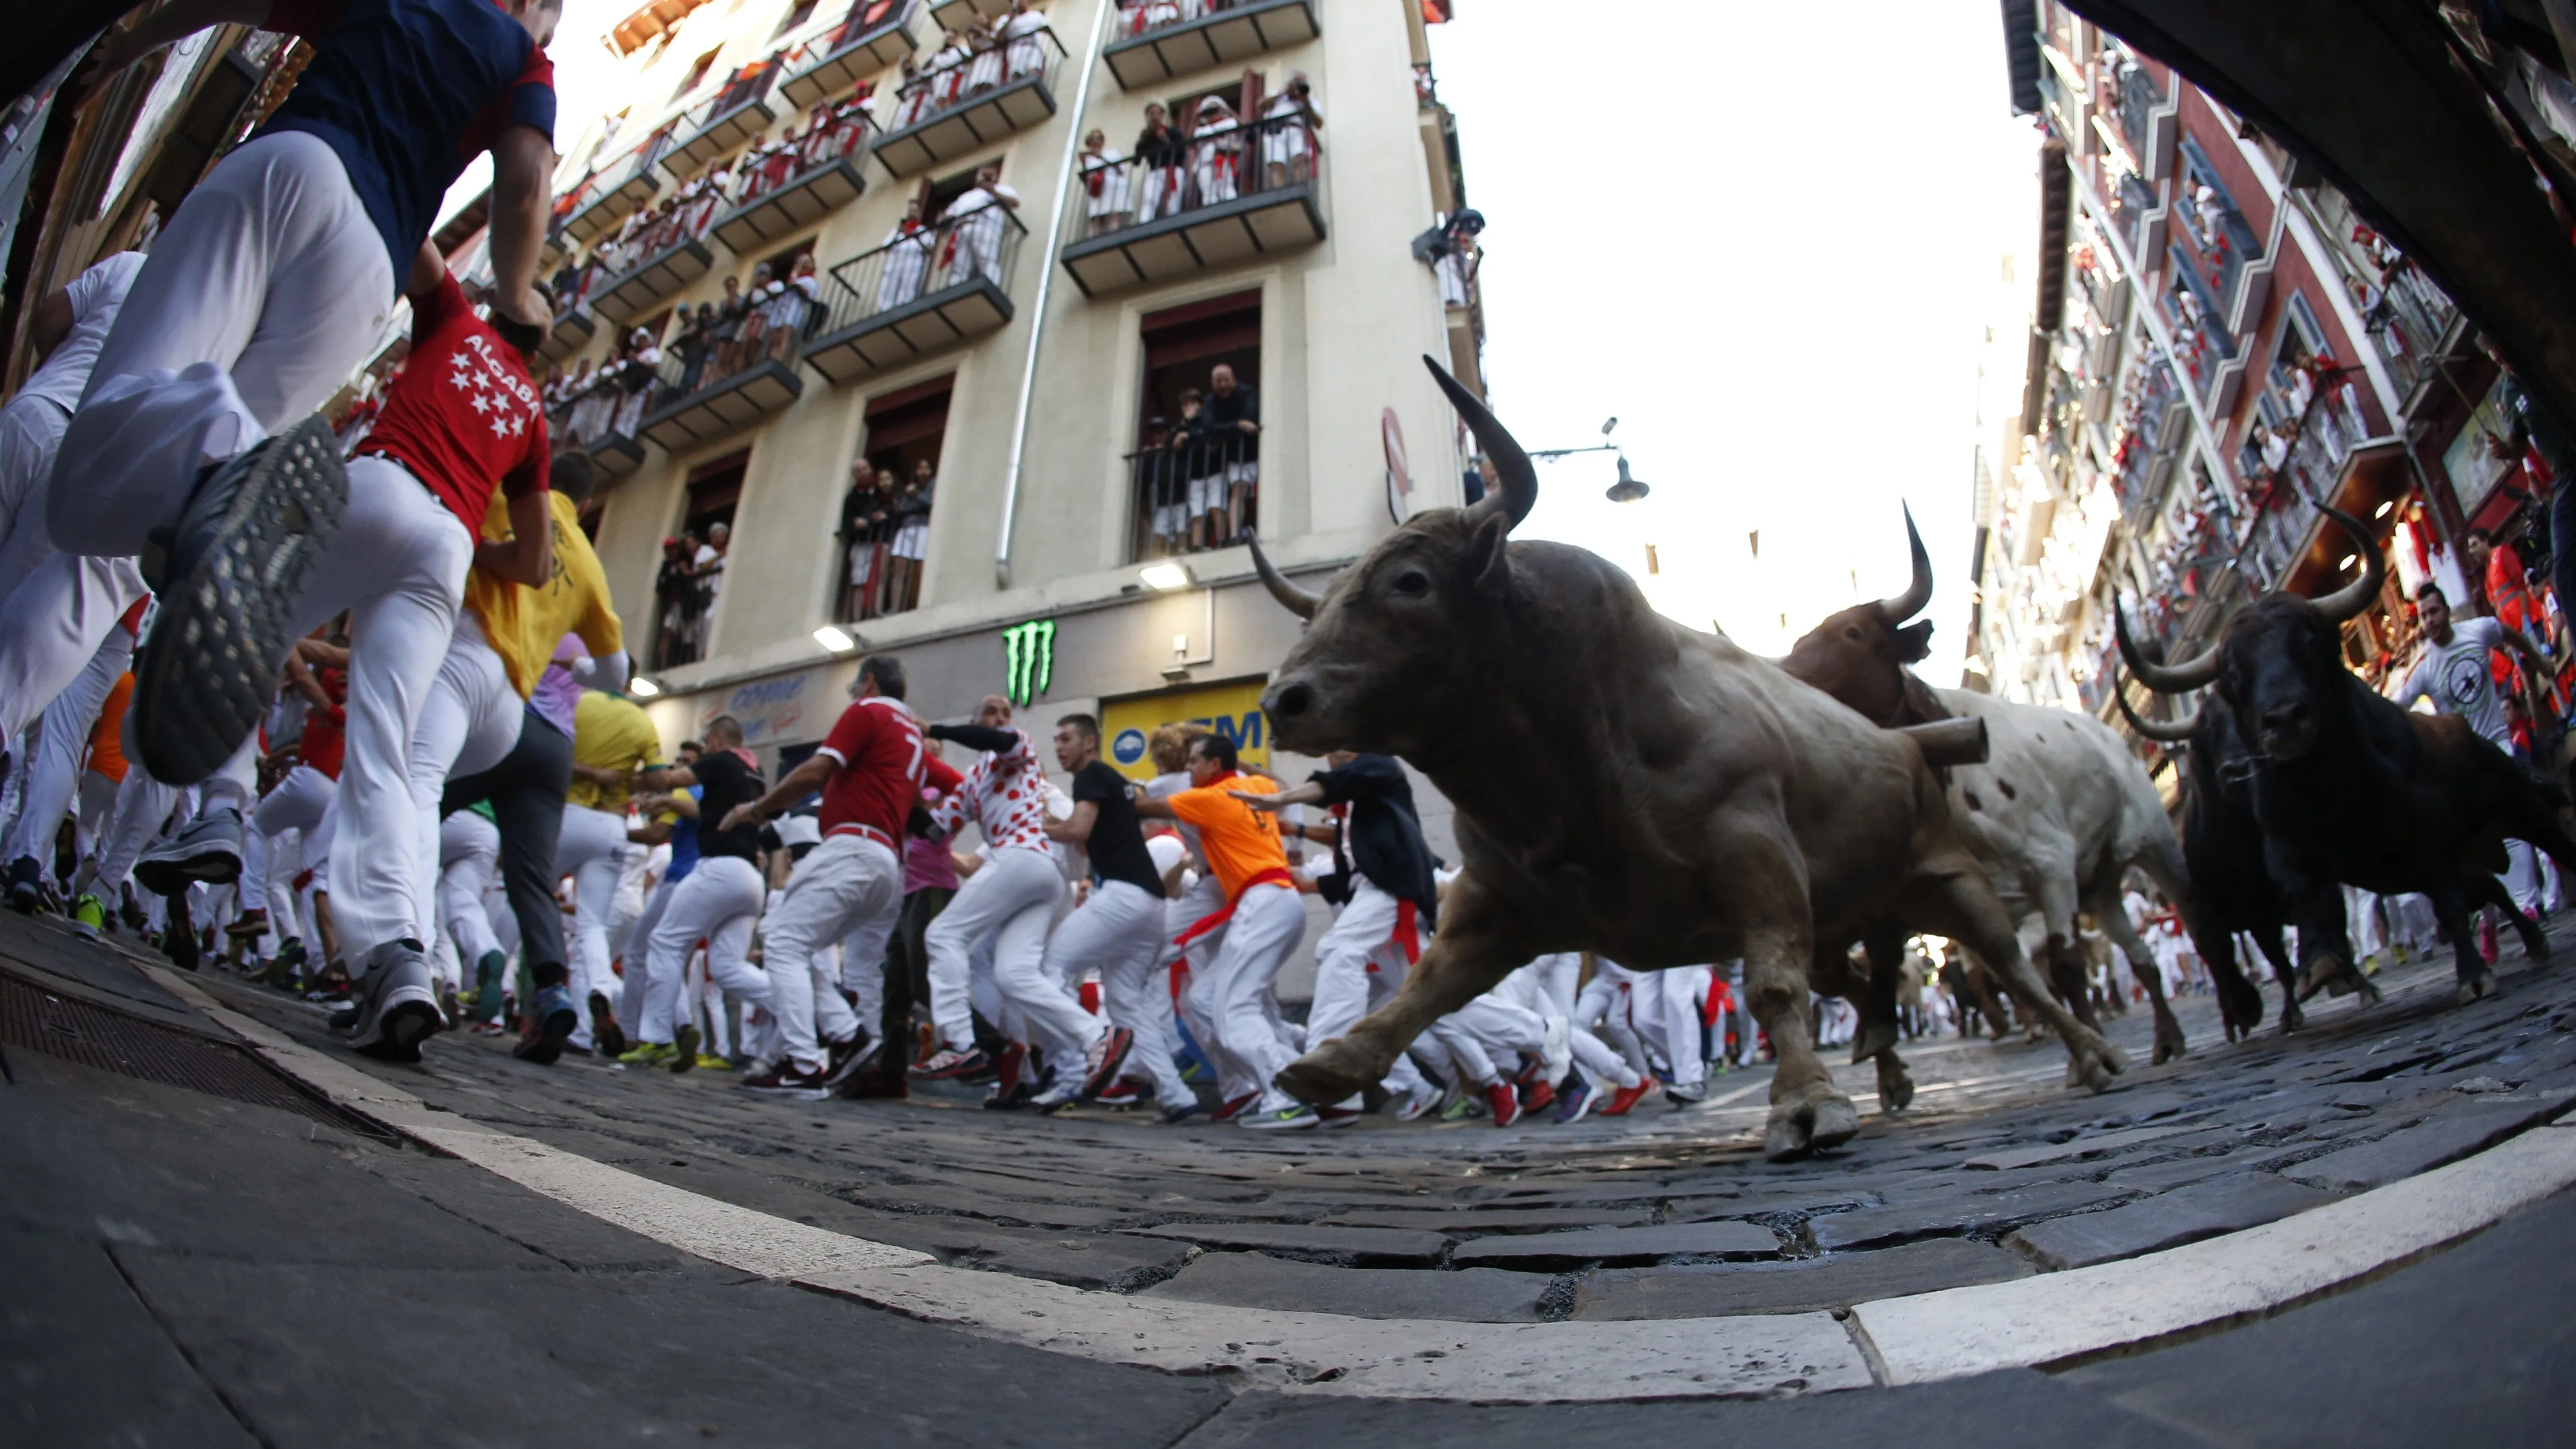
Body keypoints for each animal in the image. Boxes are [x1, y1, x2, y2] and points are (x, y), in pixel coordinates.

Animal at [1252, 361, 2133, 1160]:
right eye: (1320, 605)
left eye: (1410, 581)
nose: (1282, 699)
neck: (1569, 770)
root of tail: (1905, 744)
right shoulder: (1496, 902)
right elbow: (1426, 985)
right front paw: (1332, 1064)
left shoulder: (1758, 858)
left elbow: (1772, 985)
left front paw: (1805, 1104)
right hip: (1850, 915)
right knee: (1863, 987)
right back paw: (1888, 1067)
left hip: (1949, 876)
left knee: (2015, 966)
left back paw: (2092, 1052)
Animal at [2112, 508, 2576, 1005]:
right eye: (2234, 674)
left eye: (2311, 642)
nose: (2285, 719)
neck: (2327, 788)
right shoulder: (2285, 848)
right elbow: (2302, 898)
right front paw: (2322, 965)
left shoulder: (2428, 830)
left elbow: (2447, 904)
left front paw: (2472, 975)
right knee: (2492, 888)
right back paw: (2529, 937)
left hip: (2522, 806)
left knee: (2550, 849)